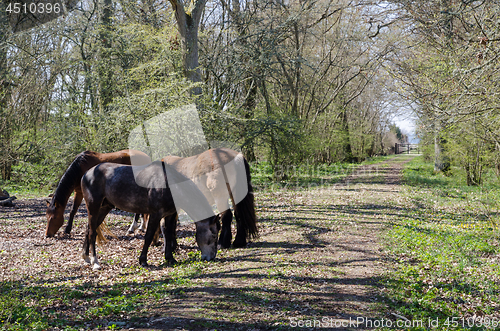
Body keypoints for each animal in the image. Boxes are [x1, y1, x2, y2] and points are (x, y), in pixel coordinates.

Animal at [81, 162, 220, 272]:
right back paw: (95, 262)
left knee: (89, 229)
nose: (211, 257)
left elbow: (168, 234)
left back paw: (86, 256)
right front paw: (143, 260)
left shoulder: (170, 215)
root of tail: (86, 173)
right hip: (93, 207)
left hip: (104, 207)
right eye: (214, 235)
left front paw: (170, 258)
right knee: (92, 232)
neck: (169, 185)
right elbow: (148, 236)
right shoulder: (155, 215)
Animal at [127, 148, 258, 249]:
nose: (154, 243)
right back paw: (239, 241)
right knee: (239, 214)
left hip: (220, 197)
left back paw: (222, 243)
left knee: (227, 216)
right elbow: (172, 224)